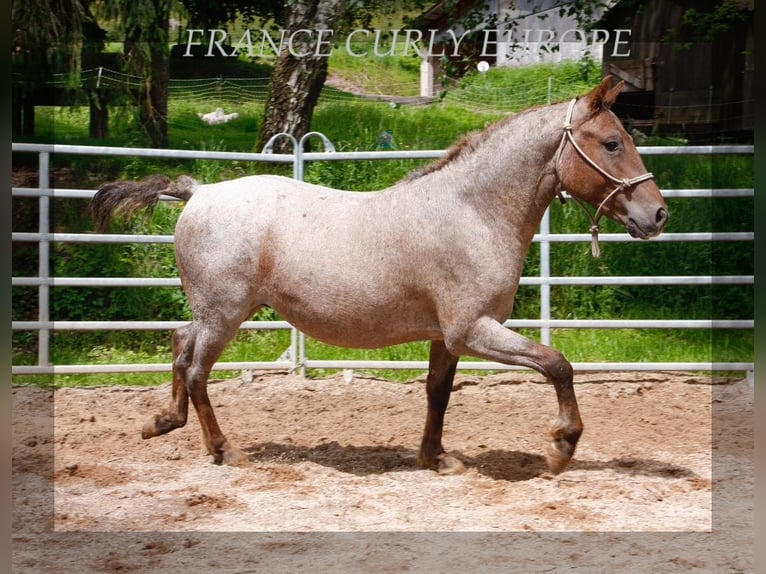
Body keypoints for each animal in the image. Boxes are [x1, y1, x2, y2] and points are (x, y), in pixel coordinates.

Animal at [88, 79, 664, 480]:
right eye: (612, 143)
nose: (657, 214)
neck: (472, 212)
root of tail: (198, 192)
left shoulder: (445, 337)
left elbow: (438, 392)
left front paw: (437, 458)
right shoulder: (472, 330)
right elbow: (557, 364)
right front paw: (562, 446)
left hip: (217, 312)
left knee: (179, 344)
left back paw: (163, 422)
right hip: (225, 314)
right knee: (196, 370)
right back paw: (225, 450)